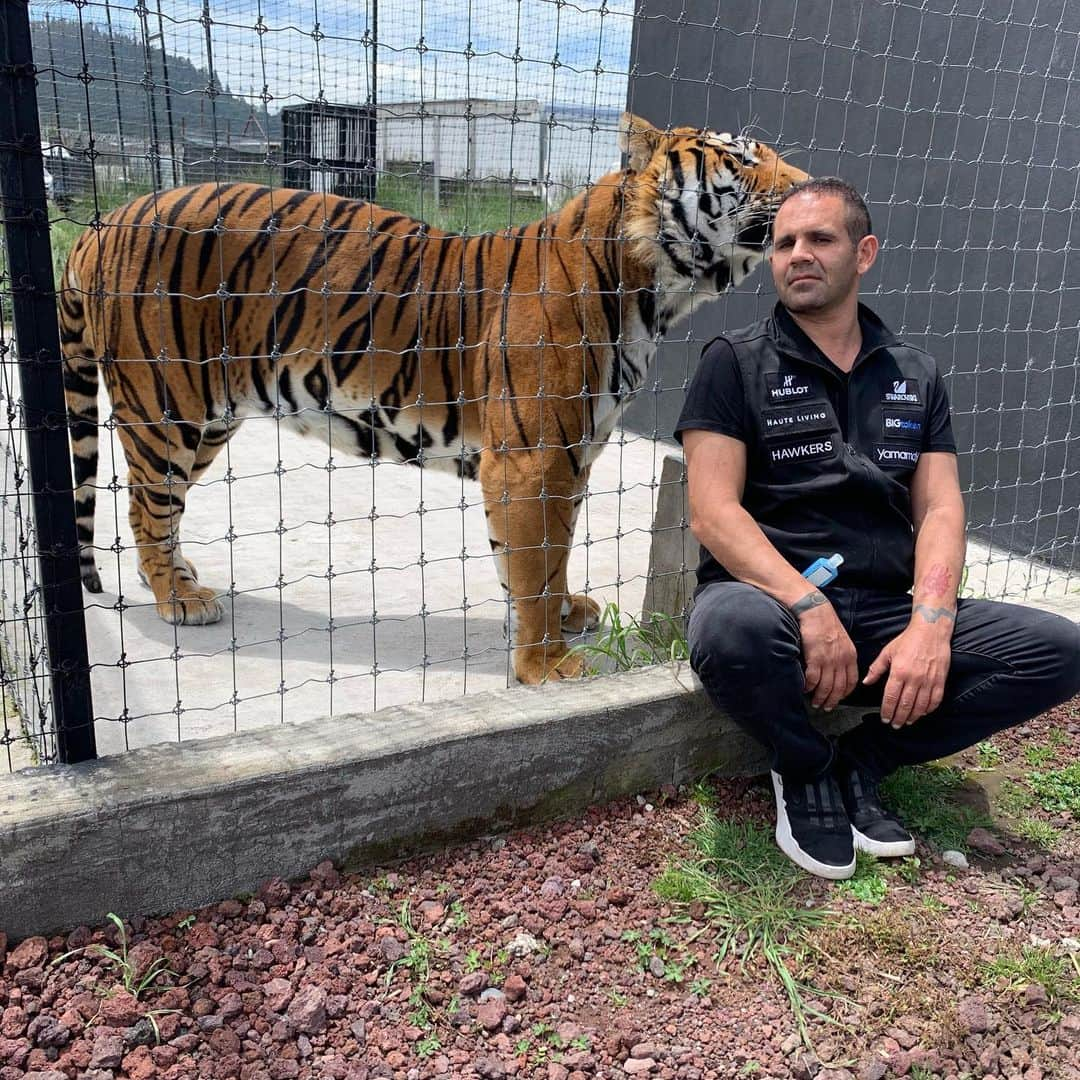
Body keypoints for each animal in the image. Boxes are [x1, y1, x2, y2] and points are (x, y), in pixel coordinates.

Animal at [56, 111, 803, 682]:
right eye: (742, 158)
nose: (809, 186)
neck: (656, 292)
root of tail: (103, 220)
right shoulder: (531, 459)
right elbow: (533, 564)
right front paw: (546, 665)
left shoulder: (574, 456)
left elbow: (556, 549)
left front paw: (566, 614)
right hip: (166, 408)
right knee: (146, 506)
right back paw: (179, 599)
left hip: (211, 417)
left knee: (162, 508)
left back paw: (179, 576)